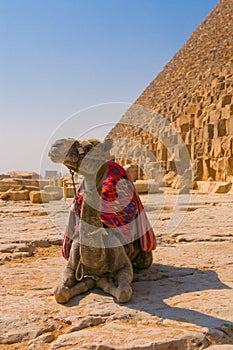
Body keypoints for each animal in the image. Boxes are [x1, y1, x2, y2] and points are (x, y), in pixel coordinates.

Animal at [48, 138, 154, 302]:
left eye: (89, 148)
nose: (56, 145)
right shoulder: (71, 266)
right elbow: (60, 292)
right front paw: (88, 282)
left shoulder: (124, 266)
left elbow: (123, 293)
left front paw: (103, 281)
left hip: (145, 253)